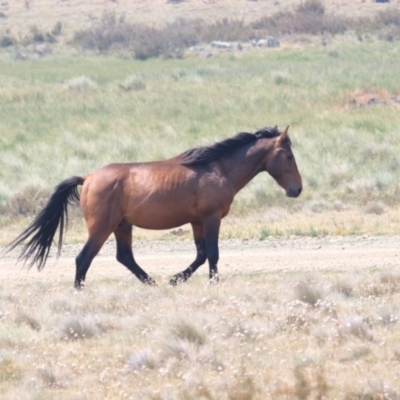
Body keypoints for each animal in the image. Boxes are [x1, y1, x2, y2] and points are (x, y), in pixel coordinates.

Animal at [7, 126, 302, 288]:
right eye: (288, 155)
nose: (297, 189)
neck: (218, 169)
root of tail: (88, 178)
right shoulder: (211, 217)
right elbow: (213, 254)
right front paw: (211, 282)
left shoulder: (197, 221)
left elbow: (201, 254)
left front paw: (175, 279)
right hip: (102, 228)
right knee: (83, 259)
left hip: (122, 226)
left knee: (125, 257)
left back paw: (153, 283)